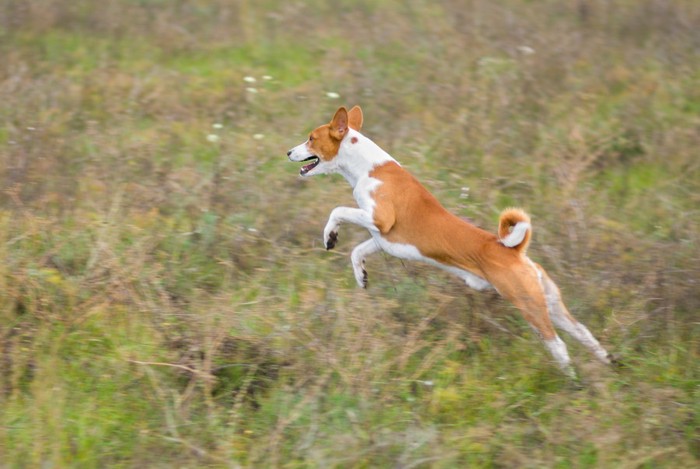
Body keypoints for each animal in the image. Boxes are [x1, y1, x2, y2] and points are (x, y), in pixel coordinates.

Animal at [288, 105, 616, 376]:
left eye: (311, 138)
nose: (288, 152)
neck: (367, 167)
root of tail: (517, 252)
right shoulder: (383, 239)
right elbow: (357, 252)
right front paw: (361, 276)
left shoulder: (379, 219)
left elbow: (337, 210)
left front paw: (329, 235)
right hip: (552, 306)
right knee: (585, 334)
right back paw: (608, 364)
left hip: (530, 307)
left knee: (559, 345)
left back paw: (572, 381)